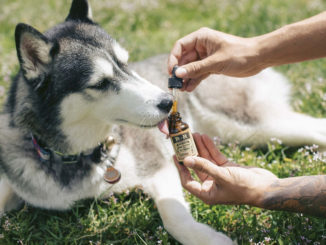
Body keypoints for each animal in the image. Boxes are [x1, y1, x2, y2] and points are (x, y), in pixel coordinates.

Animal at [1, 0, 326, 244]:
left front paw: (209, 240)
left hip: (251, 124)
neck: (80, 156)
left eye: (126, 63)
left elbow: (173, 216)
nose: (167, 102)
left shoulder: (158, 164)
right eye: (101, 83)